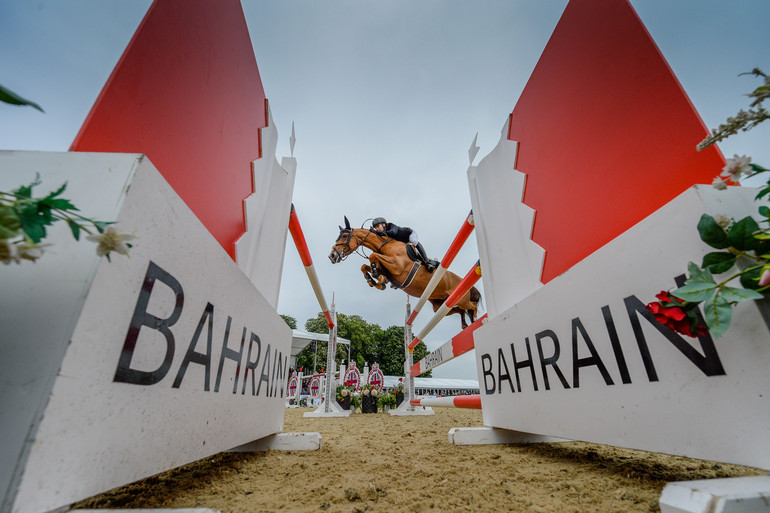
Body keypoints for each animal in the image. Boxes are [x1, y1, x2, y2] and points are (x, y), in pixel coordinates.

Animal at [328, 216, 480, 328]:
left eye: (344, 236)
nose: (332, 256)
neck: (385, 245)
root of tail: (461, 280)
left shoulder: (397, 266)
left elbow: (372, 256)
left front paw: (374, 276)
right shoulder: (387, 269)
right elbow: (365, 266)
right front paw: (373, 280)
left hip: (462, 298)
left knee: (471, 306)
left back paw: (476, 318)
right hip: (439, 304)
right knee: (459, 310)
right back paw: (465, 324)